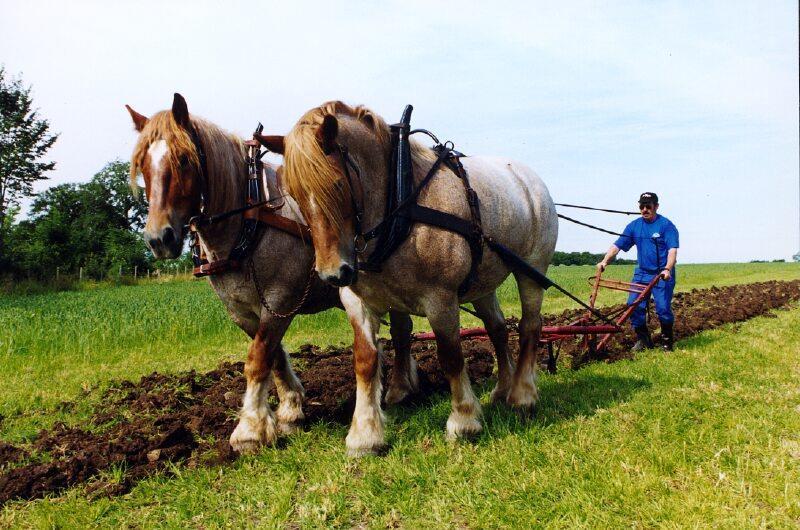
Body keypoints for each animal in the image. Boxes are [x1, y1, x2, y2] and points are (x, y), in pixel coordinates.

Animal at [126, 93, 418, 452]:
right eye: (142, 165)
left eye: (183, 159)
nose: (159, 239)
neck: (249, 222)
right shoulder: (242, 311)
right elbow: (273, 355)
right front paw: (291, 410)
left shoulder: (281, 300)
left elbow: (258, 358)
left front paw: (249, 430)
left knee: (402, 329)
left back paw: (401, 388)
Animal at [278, 101, 560, 452]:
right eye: (293, 194)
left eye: (337, 185)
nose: (334, 274)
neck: (399, 204)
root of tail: (530, 179)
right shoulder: (358, 301)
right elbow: (365, 360)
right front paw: (365, 434)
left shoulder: (441, 297)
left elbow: (450, 355)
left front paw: (464, 421)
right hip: (483, 283)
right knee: (496, 329)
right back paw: (502, 390)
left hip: (531, 268)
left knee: (529, 325)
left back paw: (522, 395)